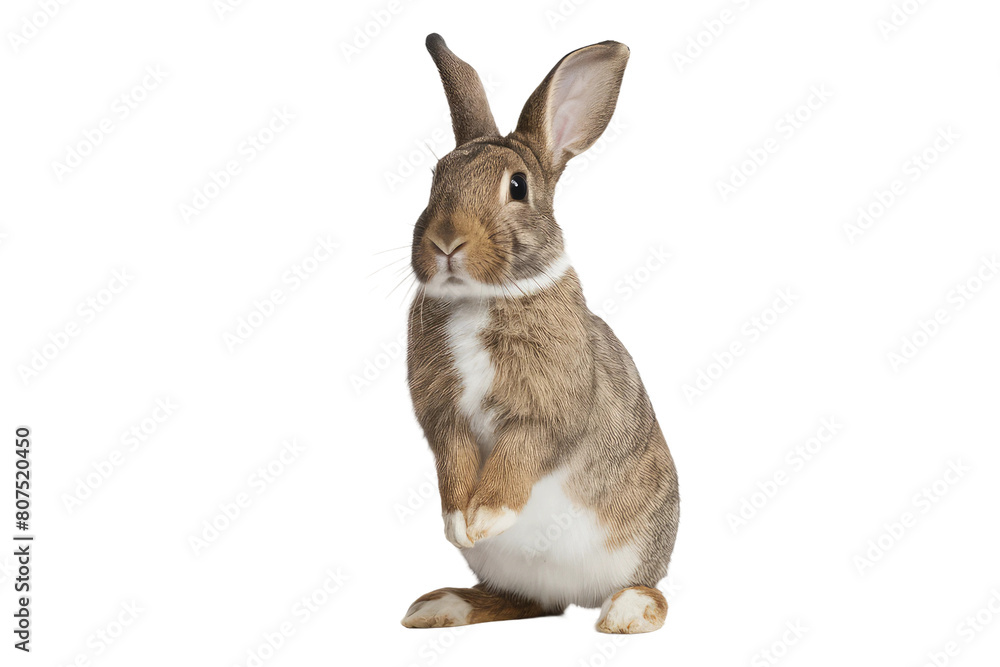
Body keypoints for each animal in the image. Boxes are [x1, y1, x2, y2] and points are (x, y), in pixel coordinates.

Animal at [401, 33, 680, 634]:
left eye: (517, 186)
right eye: (434, 179)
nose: (445, 242)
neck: (479, 297)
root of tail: (573, 595)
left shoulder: (543, 412)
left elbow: (517, 459)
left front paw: (483, 518)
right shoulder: (444, 418)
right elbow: (454, 458)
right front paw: (459, 526)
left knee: (644, 586)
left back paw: (627, 614)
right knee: (527, 603)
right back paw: (440, 605)